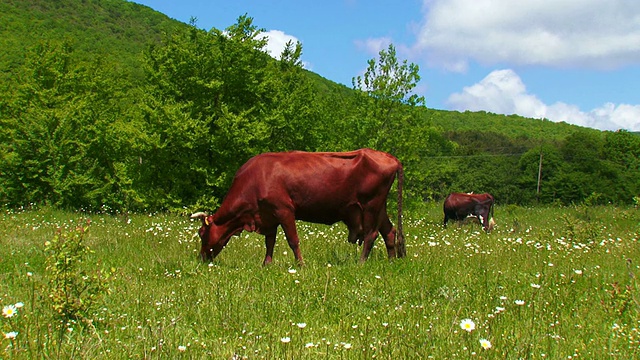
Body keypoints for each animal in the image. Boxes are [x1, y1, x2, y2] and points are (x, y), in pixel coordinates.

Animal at [192, 148, 408, 264]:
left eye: (201, 233)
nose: (201, 259)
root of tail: (390, 157)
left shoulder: (284, 210)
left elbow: (292, 240)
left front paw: (300, 264)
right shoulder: (268, 216)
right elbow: (270, 242)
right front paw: (266, 264)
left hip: (371, 206)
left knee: (371, 234)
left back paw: (361, 262)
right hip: (380, 208)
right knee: (389, 232)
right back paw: (391, 261)